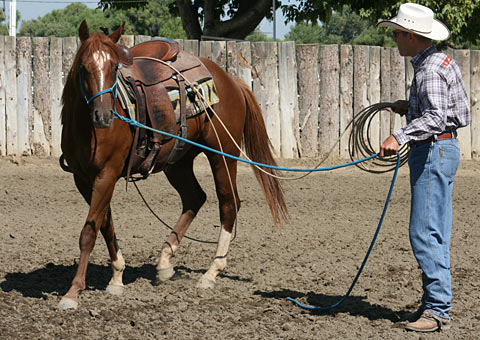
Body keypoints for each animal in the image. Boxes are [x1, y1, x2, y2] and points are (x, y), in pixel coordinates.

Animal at [58, 19, 286, 310]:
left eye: (114, 67)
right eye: (84, 67)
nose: (104, 115)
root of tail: (231, 80)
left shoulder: (107, 174)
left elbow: (89, 231)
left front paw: (72, 293)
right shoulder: (83, 179)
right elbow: (105, 224)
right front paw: (117, 277)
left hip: (223, 154)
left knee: (228, 203)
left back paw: (211, 273)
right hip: (178, 162)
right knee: (194, 197)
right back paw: (165, 261)